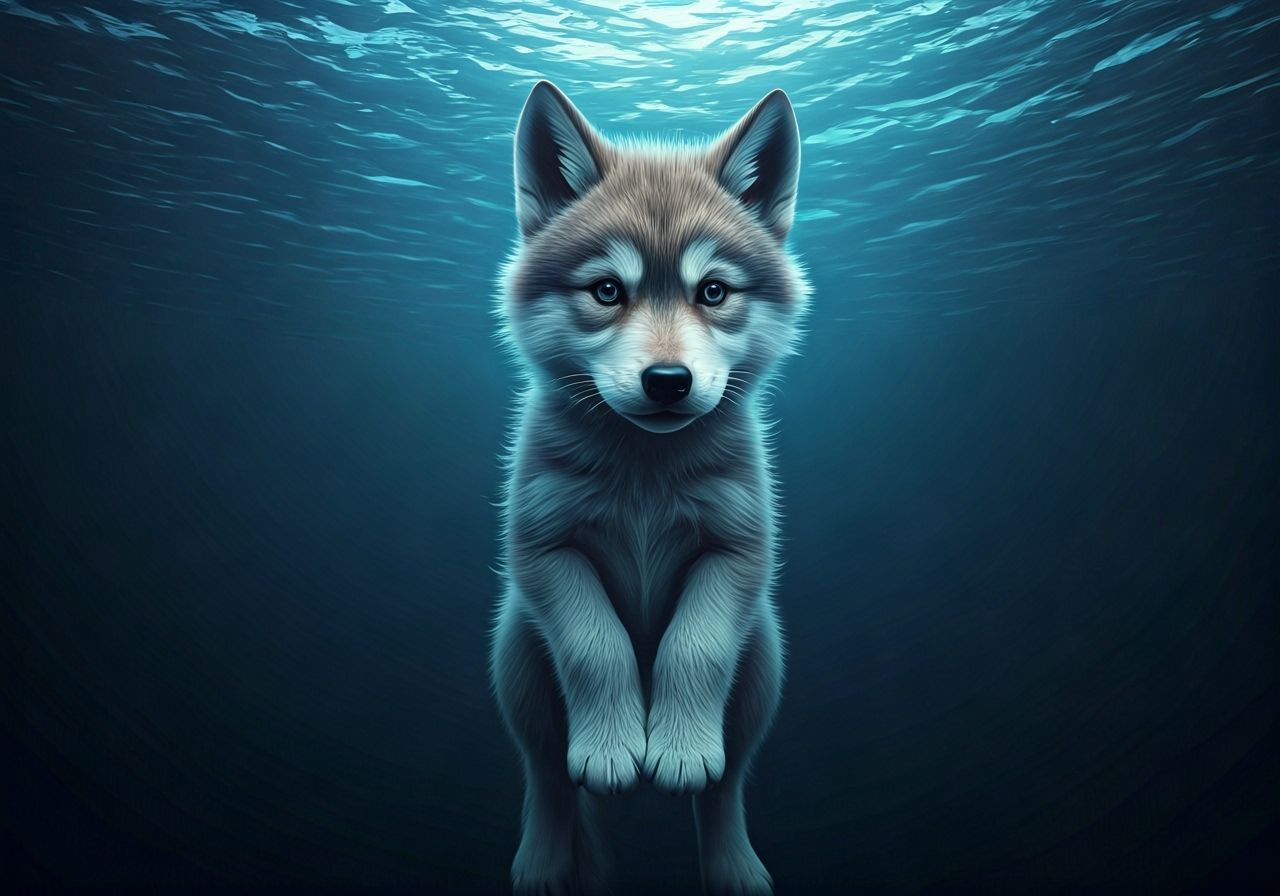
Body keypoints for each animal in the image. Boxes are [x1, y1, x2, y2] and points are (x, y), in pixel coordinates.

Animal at [489, 80, 810, 896]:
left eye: (713, 291)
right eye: (607, 290)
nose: (668, 381)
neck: (645, 474)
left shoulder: (738, 552)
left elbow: (693, 648)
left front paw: (679, 749)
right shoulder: (543, 550)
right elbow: (596, 646)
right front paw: (609, 748)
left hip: (763, 659)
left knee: (729, 782)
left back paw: (734, 867)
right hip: (517, 658)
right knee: (543, 772)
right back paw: (542, 863)